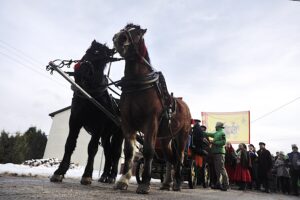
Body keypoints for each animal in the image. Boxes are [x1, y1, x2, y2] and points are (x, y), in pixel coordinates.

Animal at [49, 39, 123, 185]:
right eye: (87, 51)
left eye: (102, 57)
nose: (81, 71)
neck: (90, 95)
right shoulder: (74, 121)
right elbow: (70, 144)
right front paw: (59, 172)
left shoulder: (98, 126)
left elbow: (92, 148)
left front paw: (87, 175)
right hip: (106, 135)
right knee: (108, 153)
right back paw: (104, 176)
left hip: (119, 134)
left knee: (116, 154)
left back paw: (112, 176)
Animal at [111, 23, 191, 194]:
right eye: (124, 28)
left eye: (138, 33)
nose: (119, 38)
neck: (139, 86)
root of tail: (185, 107)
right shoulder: (127, 122)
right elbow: (129, 151)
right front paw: (123, 180)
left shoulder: (151, 122)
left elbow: (148, 151)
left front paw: (144, 183)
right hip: (166, 139)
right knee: (169, 159)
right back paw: (167, 183)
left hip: (181, 137)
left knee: (179, 158)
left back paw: (177, 183)